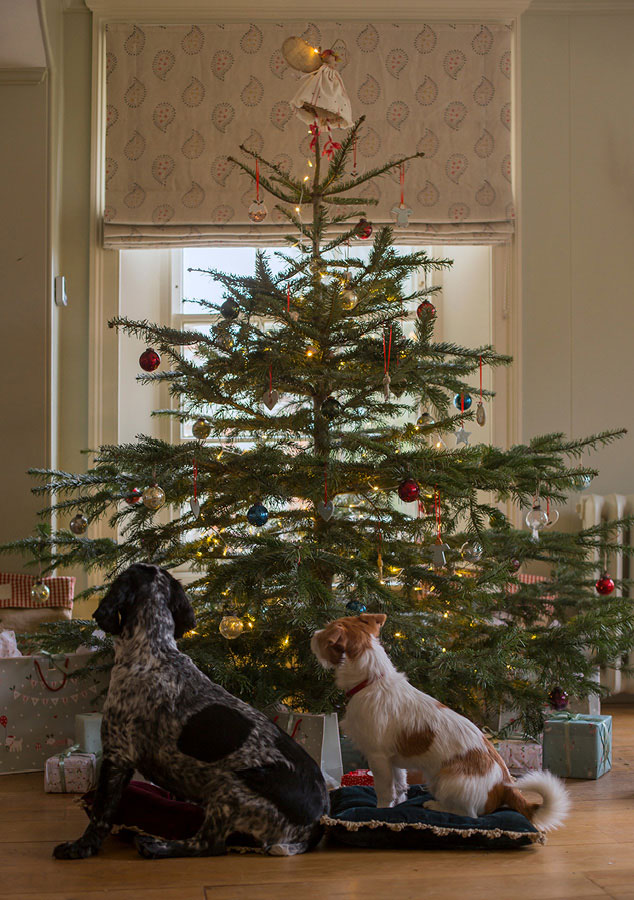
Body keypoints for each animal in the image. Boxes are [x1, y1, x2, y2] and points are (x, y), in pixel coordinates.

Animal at [52, 568, 328, 860]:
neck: (153, 651)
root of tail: (319, 821)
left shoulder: (118, 755)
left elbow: (100, 813)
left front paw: (80, 847)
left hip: (230, 786)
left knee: (210, 845)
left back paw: (156, 845)